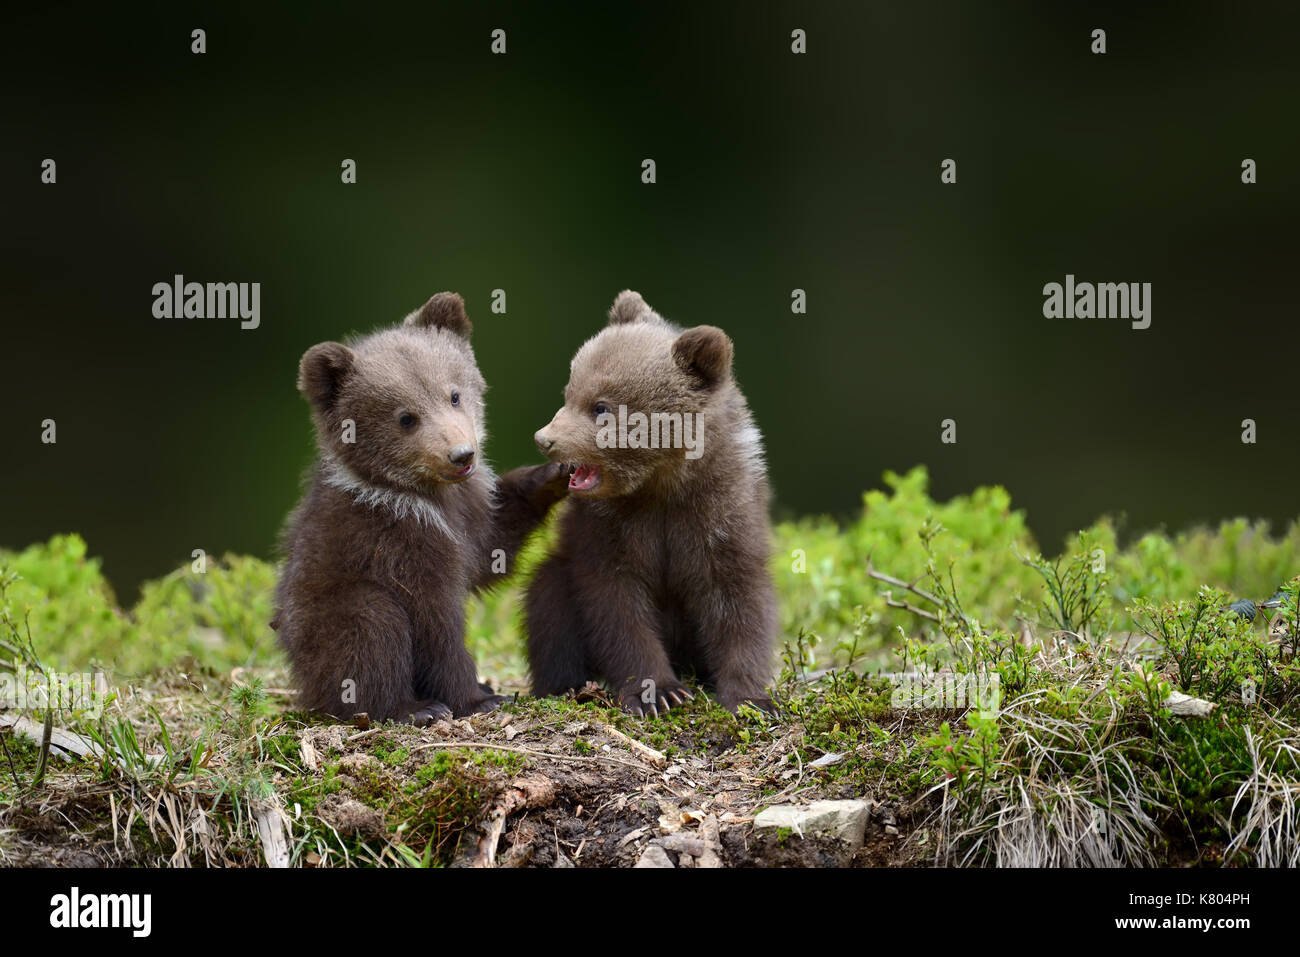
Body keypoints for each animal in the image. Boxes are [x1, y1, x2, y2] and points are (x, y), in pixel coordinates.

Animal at [273, 292, 569, 724]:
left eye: (454, 394)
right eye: (406, 418)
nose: (461, 455)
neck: (426, 496)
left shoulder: (469, 513)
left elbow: (491, 549)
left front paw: (553, 474)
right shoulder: (399, 541)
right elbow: (435, 622)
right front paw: (478, 698)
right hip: (327, 616)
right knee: (372, 627)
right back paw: (412, 707)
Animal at [525, 290, 777, 716]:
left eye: (601, 406)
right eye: (569, 392)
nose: (545, 438)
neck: (661, 484)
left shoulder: (721, 512)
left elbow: (738, 600)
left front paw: (751, 698)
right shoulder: (610, 526)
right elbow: (617, 605)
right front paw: (659, 692)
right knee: (548, 601)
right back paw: (566, 685)